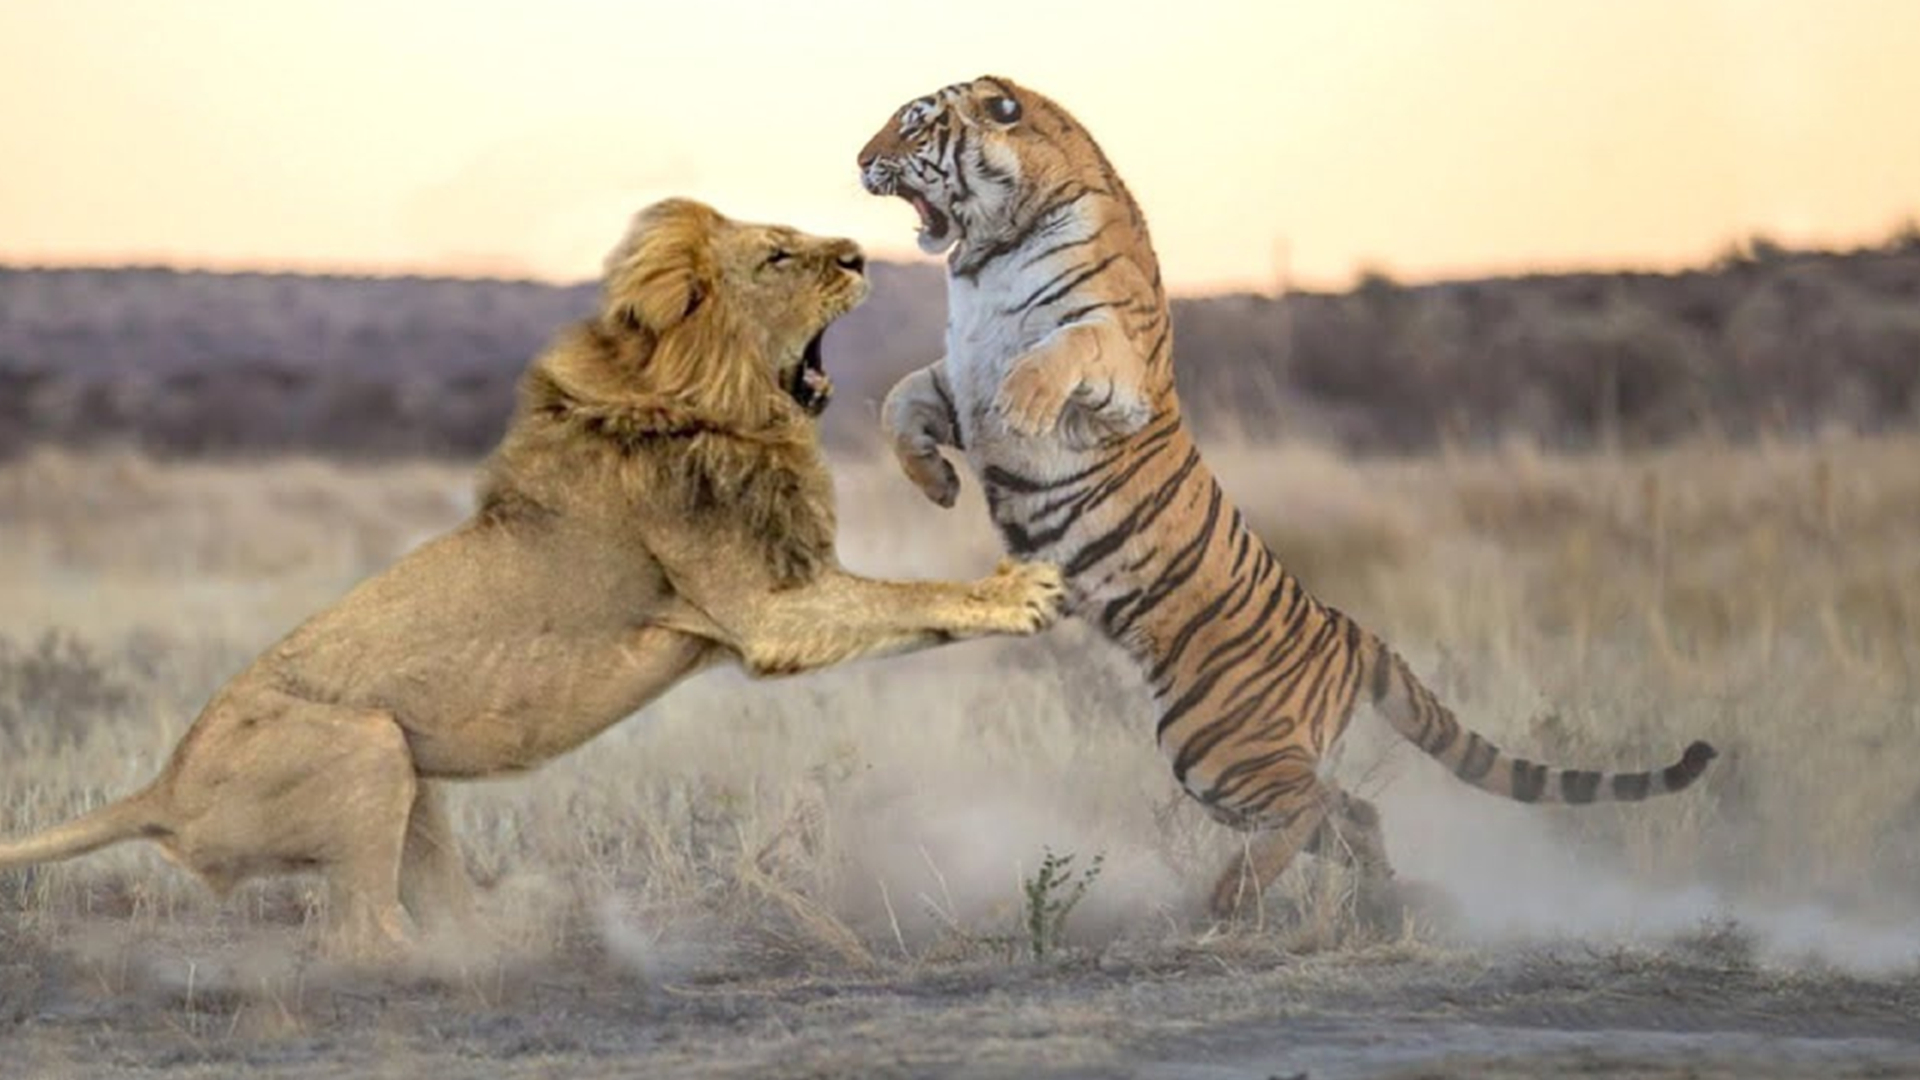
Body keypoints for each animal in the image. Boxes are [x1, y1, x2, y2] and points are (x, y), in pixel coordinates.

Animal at [857, 75, 1716, 923]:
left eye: (916, 126)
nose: (860, 159)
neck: (989, 252)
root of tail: (1352, 632)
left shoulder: (1118, 367)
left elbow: (1062, 351)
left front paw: (1021, 406)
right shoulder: (954, 375)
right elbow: (899, 400)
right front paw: (934, 480)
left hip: (1215, 743)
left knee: (1312, 806)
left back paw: (1232, 900)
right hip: (1229, 760)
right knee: (1351, 810)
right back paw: (1376, 900)